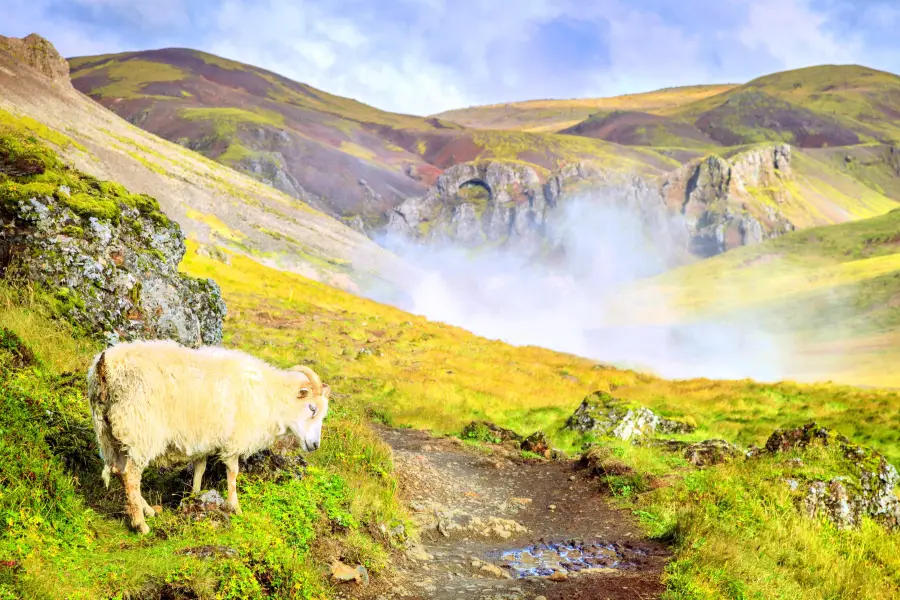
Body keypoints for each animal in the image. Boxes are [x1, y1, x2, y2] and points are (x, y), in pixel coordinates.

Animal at [85, 338, 326, 536]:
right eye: (312, 408)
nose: (315, 445)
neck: (271, 398)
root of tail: (106, 367)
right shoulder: (233, 439)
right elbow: (233, 473)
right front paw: (235, 507)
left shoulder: (203, 439)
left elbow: (200, 468)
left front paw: (195, 496)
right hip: (139, 430)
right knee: (131, 476)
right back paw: (140, 523)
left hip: (108, 433)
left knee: (118, 471)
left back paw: (147, 510)